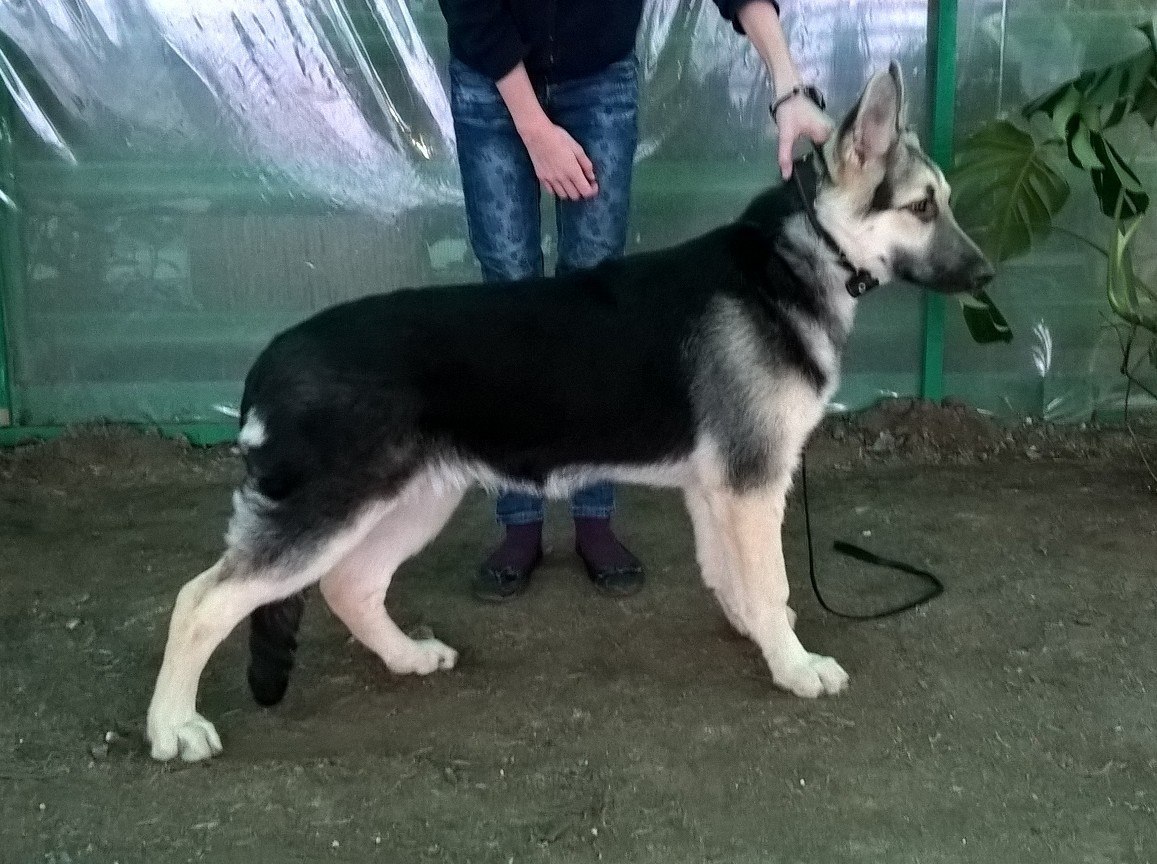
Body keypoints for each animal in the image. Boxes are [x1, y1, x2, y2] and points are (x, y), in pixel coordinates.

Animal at [144, 64, 995, 758]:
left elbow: (732, 577)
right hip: (329, 516)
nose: (988, 274)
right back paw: (174, 727)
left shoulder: (715, 490)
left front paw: (757, 635)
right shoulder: (752, 485)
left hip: (411, 504)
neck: (798, 254)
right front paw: (792, 663)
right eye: (922, 207)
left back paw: (406, 657)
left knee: (347, 586)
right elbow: (774, 585)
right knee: (200, 601)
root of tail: (270, 357)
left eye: (944, 204)